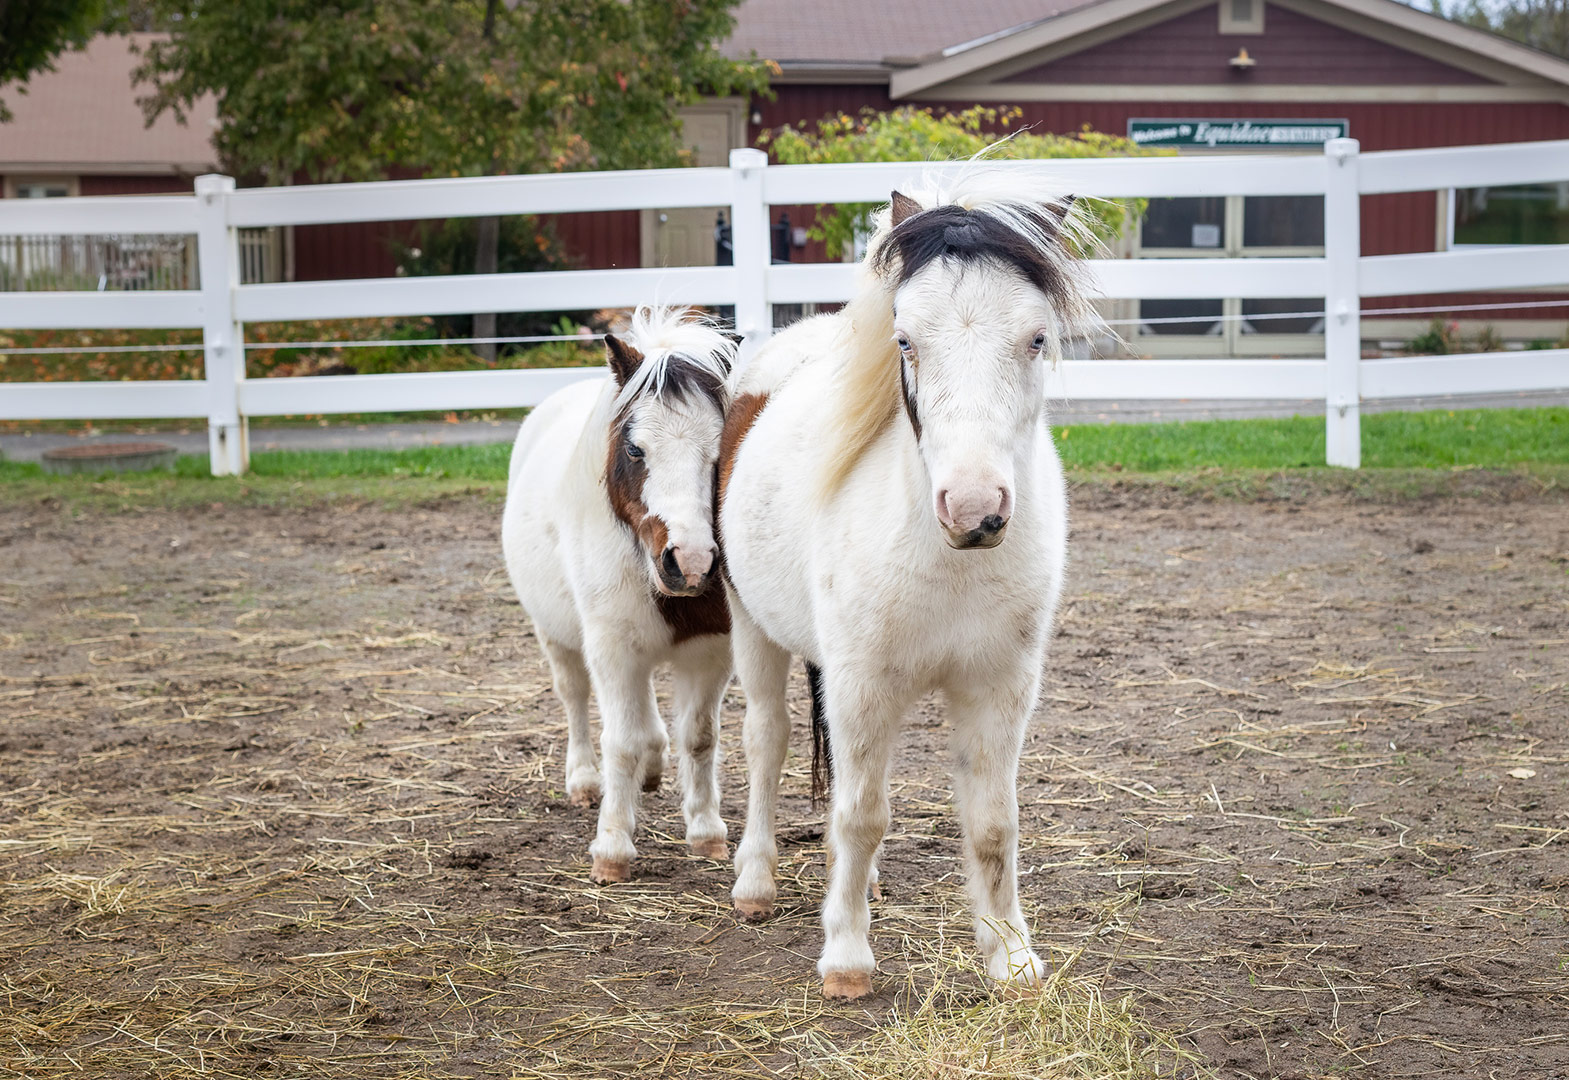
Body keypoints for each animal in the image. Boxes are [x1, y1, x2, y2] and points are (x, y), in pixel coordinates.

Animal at [503, 306, 736, 884]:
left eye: (716, 452)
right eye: (635, 449)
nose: (691, 562)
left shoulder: (708, 652)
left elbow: (698, 737)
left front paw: (706, 832)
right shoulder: (612, 649)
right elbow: (621, 742)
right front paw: (611, 848)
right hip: (558, 637)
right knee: (575, 699)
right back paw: (586, 781)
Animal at [717, 177, 1094, 1000]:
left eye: (1037, 338)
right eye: (905, 342)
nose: (975, 509)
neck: (945, 563)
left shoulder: (997, 691)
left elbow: (992, 822)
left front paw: (1012, 959)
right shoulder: (863, 686)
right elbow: (861, 816)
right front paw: (847, 958)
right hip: (752, 630)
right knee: (766, 741)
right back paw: (755, 882)